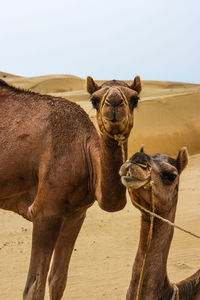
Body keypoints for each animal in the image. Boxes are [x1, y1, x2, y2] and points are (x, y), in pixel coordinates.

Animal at [0, 75, 141, 300]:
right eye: (94, 99)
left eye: (135, 99)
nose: (114, 102)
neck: (84, 153)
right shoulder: (45, 213)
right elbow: (33, 289)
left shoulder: (76, 213)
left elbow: (58, 281)